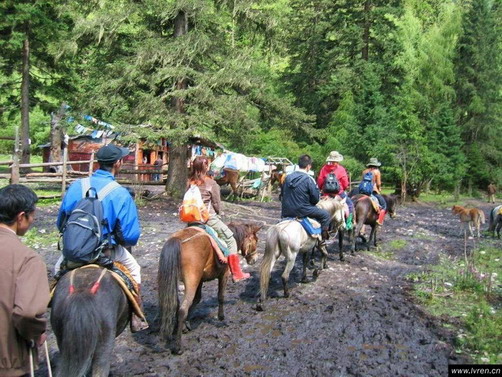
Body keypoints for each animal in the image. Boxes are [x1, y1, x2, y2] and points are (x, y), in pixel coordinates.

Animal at [158, 220, 260, 352]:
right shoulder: (224, 274)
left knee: (175, 304)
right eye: (255, 240)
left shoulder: (200, 280)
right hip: (191, 281)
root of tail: (178, 240)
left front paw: (187, 324)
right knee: (182, 310)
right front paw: (221, 317)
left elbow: (197, 300)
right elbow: (220, 296)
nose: (255, 259)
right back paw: (178, 346)